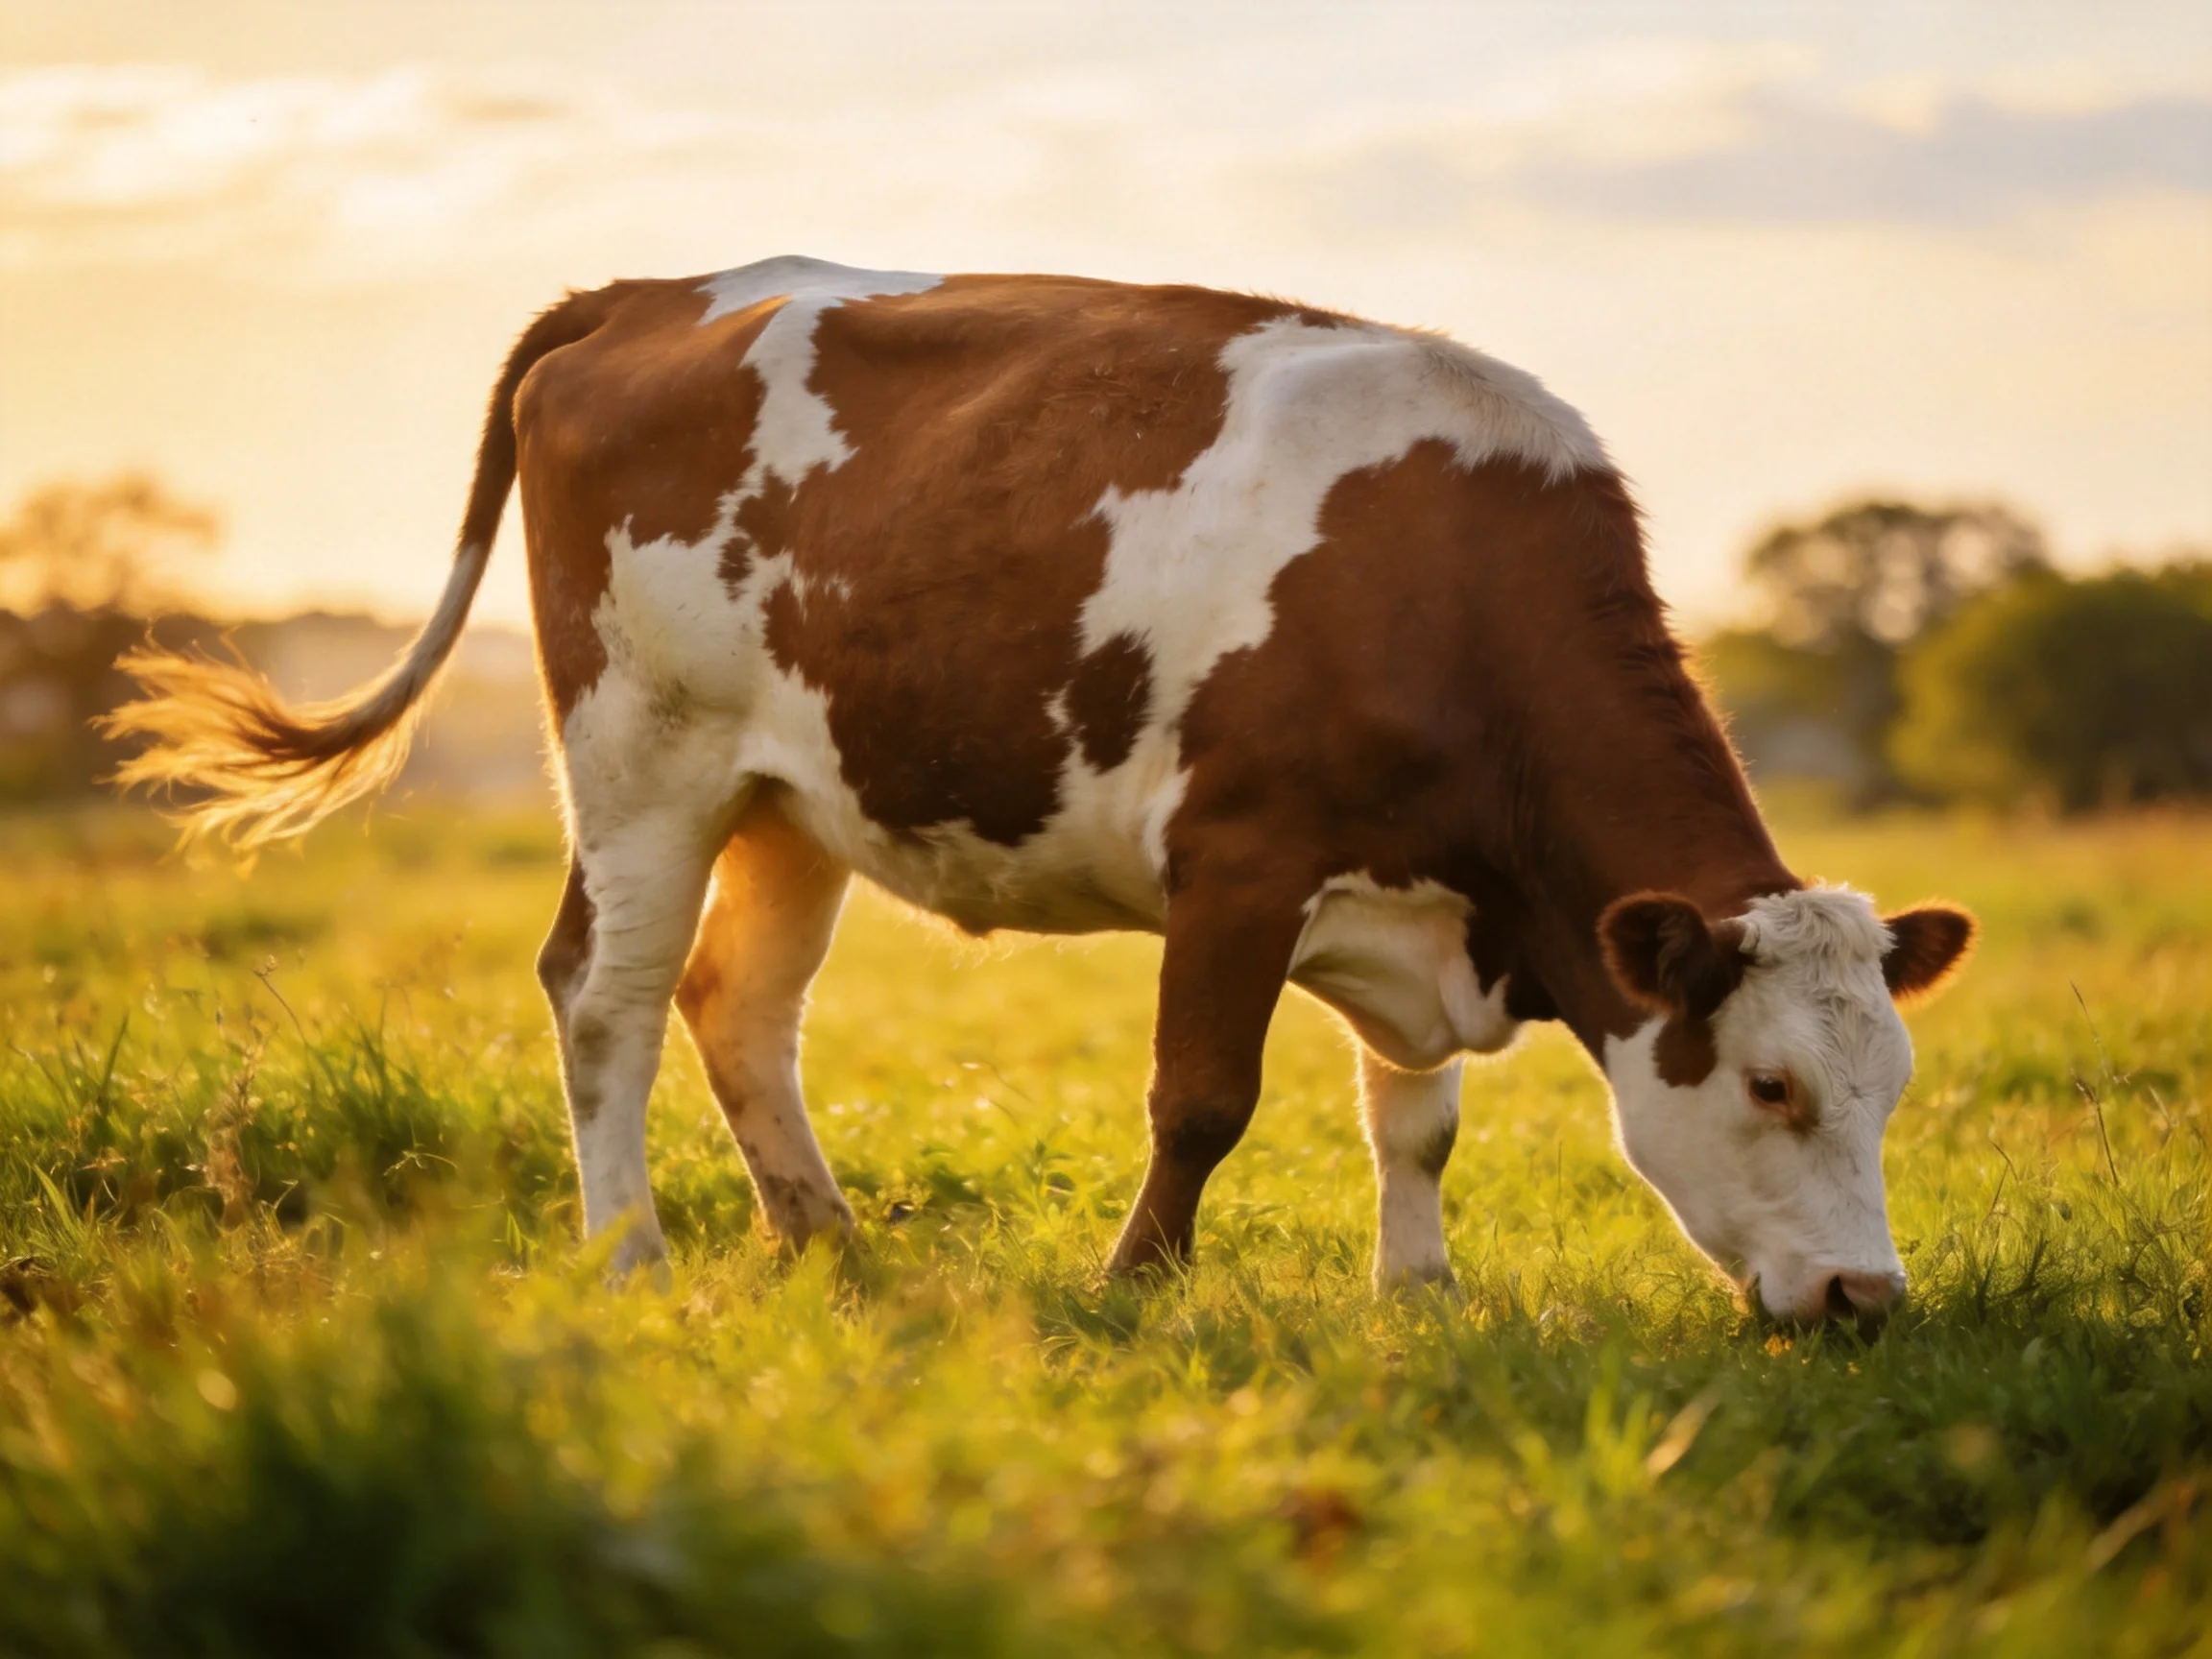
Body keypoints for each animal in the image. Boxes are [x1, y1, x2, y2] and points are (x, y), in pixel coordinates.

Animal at [110, 256, 1975, 1326]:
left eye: (1888, 1089)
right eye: (1769, 1086)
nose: (1867, 1300)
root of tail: (644, 290)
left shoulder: (1420, 898)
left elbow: (1415, 1117)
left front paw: (1420, 1293)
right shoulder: (1240, 861)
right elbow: (1201, 1099)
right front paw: (1134, 1286)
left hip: (793, 796)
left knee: (736, 1002)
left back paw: (827, 1246)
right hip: (643, 756)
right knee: (604, 999)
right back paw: (630, 1256)